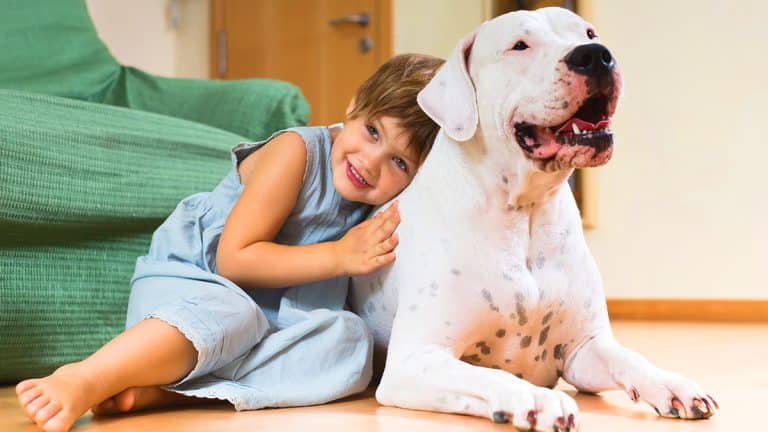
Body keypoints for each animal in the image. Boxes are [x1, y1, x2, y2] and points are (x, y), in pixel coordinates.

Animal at [352, 7, 716, 432]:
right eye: (520, 45)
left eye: (589, 33)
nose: (595, 55)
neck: (525, 212)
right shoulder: (414, 359)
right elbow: (489, 374)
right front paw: (537, 398)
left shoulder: (583, 350)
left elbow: (628, 357)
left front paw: (671, 384)